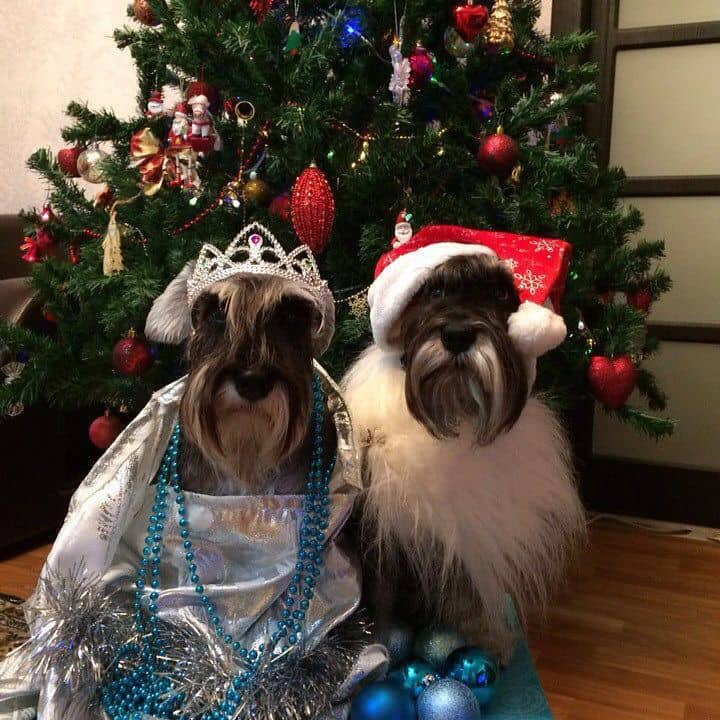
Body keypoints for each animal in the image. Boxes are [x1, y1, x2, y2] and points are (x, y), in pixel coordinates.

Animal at [342, 225, 584, 660]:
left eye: (501, 294)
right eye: (433, 290)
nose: (456, 336)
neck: (453, 412)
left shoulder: (459, 534)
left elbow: (466, 592)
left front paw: (488, 638)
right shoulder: (383, 532)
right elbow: (382, 599)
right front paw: (380, 648)